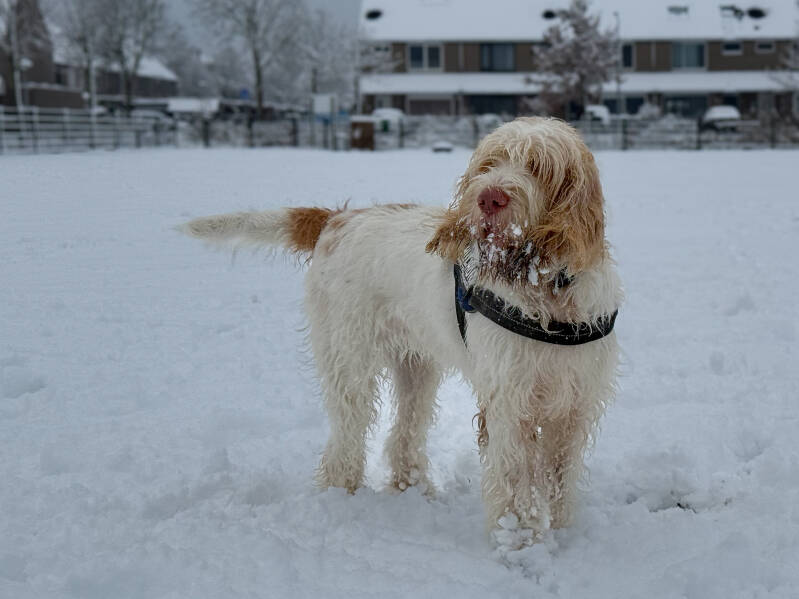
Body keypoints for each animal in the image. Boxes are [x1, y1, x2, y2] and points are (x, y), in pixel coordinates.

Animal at [181, 117, 621, 545]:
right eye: (489, 164)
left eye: (537, 166)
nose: (489, 198)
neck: (548, 288)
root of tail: (337, 218)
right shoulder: (510, 404)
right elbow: (515, 481)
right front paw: (519, 544)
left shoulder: (574, 405)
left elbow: (560, 475)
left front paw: (561, 534)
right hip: (349, 361)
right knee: (347, 434)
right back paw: (342, 495)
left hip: (416, 367)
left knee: (405, 431)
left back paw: (411, 488)